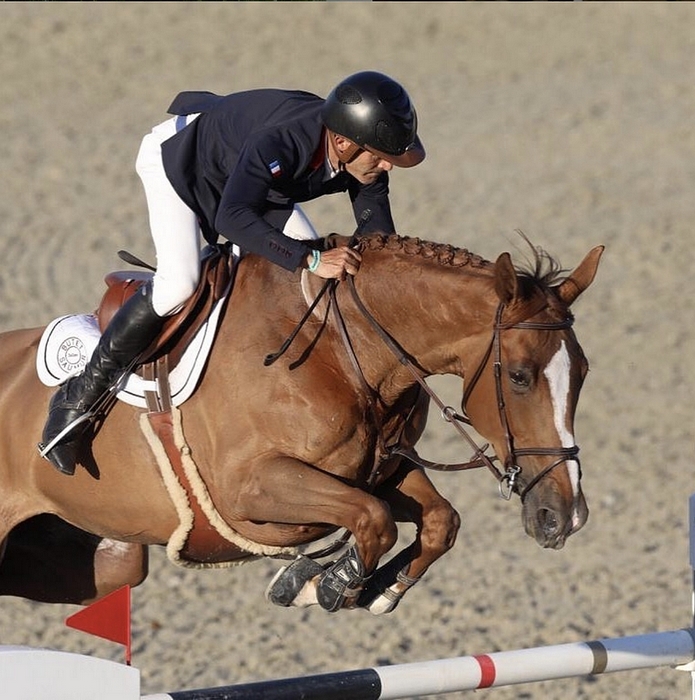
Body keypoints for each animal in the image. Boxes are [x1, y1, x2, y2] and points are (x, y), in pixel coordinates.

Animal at [0, 231, 600, 612]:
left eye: (584, 372)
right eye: (519, 377)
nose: (564, 517)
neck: (342, 348)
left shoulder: (378, 469)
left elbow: (436, 521)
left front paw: (373, 589)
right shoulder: (251, 489)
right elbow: (373, 519)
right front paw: (318, 584)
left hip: (106, 560)